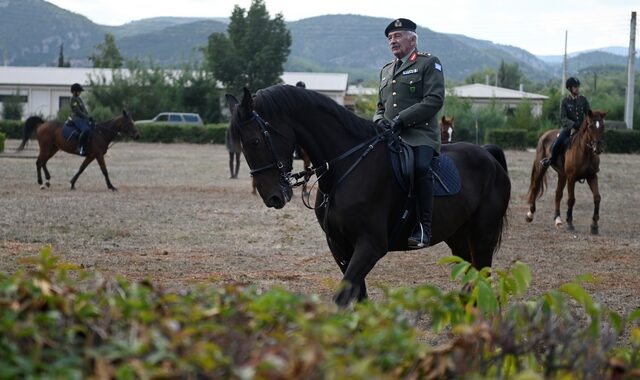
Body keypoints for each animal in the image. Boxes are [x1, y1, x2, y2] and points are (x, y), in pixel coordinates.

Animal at [228, 86, 512, 306]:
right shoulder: (339, 245)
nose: (273, 197)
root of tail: (488, 155)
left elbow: (342, 298)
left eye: (254, 141)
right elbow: (358, 297)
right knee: (471, 276)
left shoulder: (371, 245)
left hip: (483, 234)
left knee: (483, 275)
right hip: (458, 236)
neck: (347, 166)